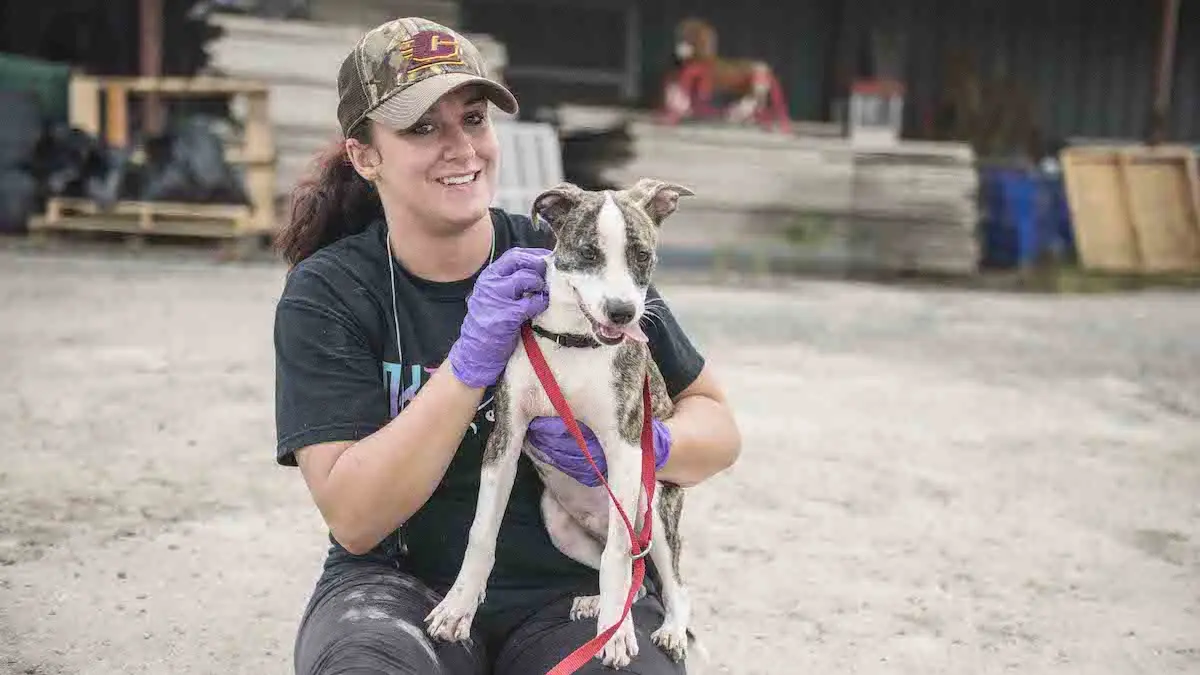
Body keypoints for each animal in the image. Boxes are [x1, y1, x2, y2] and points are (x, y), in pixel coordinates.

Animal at [427, 178, 700, 667]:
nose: (622, 313)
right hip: (558, 524)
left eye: (642, 255)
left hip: (654, 506)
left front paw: (615, 636)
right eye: (589, 253)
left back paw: (665, 628)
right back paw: (599, 603)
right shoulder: (507, 435)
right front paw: (458, 608)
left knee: (664, 577)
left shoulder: (625, 448)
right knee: (633, 575)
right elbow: (482, 532)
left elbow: (616, 556)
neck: (575, 341)